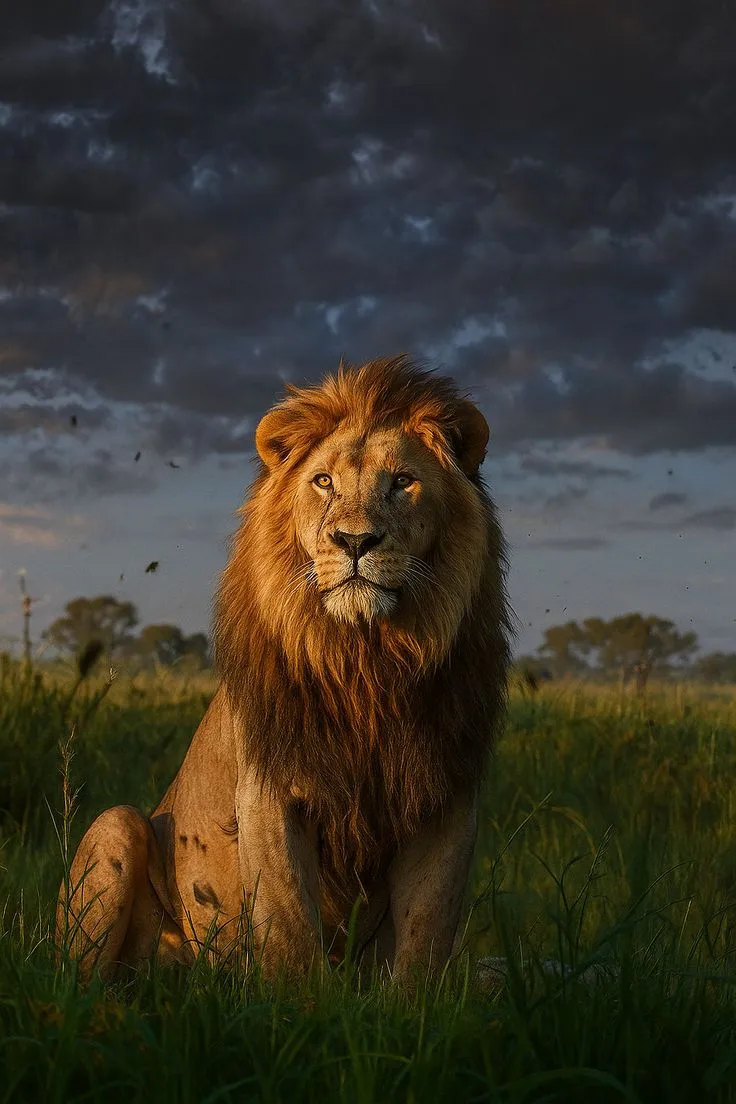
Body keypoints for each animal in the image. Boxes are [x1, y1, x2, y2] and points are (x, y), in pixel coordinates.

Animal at [57, 356, 512, 986]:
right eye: (323, 482)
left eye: (403, 482)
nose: (354, 541)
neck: (366, 665)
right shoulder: (270, 791)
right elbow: (290, 923)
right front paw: (304, 1006)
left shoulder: (448, 796)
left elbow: (425, 936)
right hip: (116, 826)